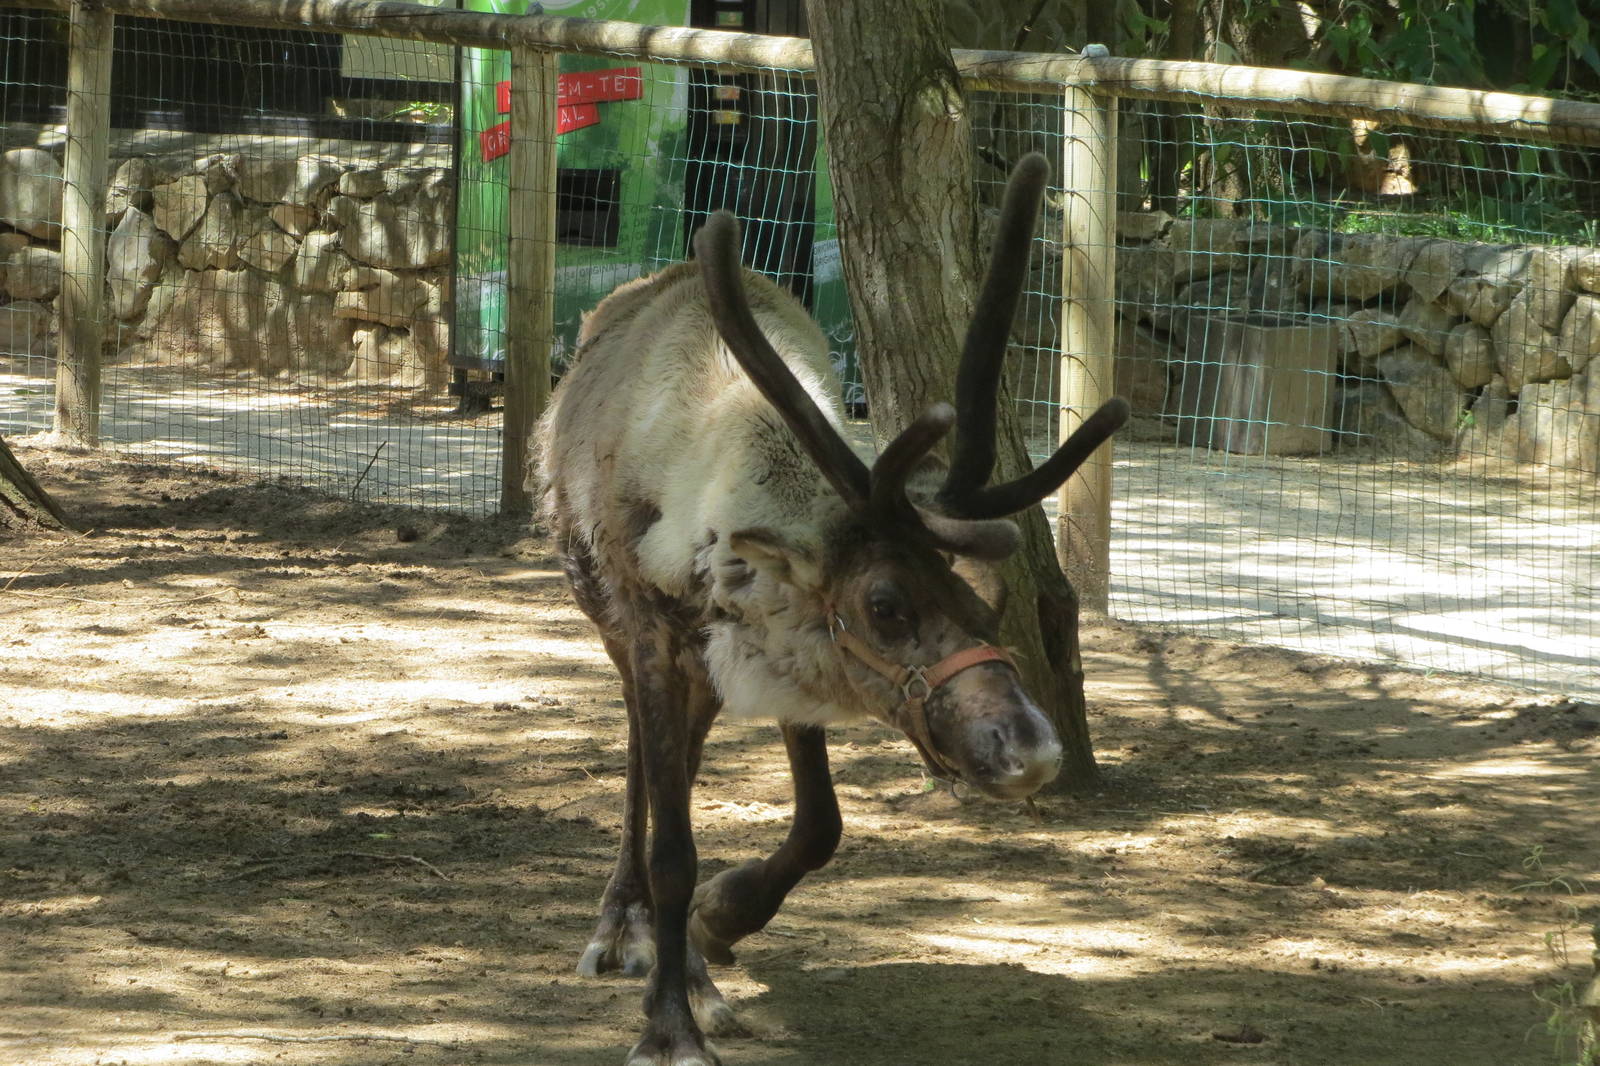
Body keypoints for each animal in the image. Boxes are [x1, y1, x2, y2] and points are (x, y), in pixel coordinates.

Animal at [536, 152, 1129, 1066]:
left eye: (989, 594)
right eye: (884, 604)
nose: (1030, 751)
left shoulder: (782, 644)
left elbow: (820, 824)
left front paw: (718, 920)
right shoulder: (658, 633)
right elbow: (674, 844)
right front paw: (667, 1025)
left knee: (677, 760)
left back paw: (690, 964)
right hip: (610, 622)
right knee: (642, 757)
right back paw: (623, 926)